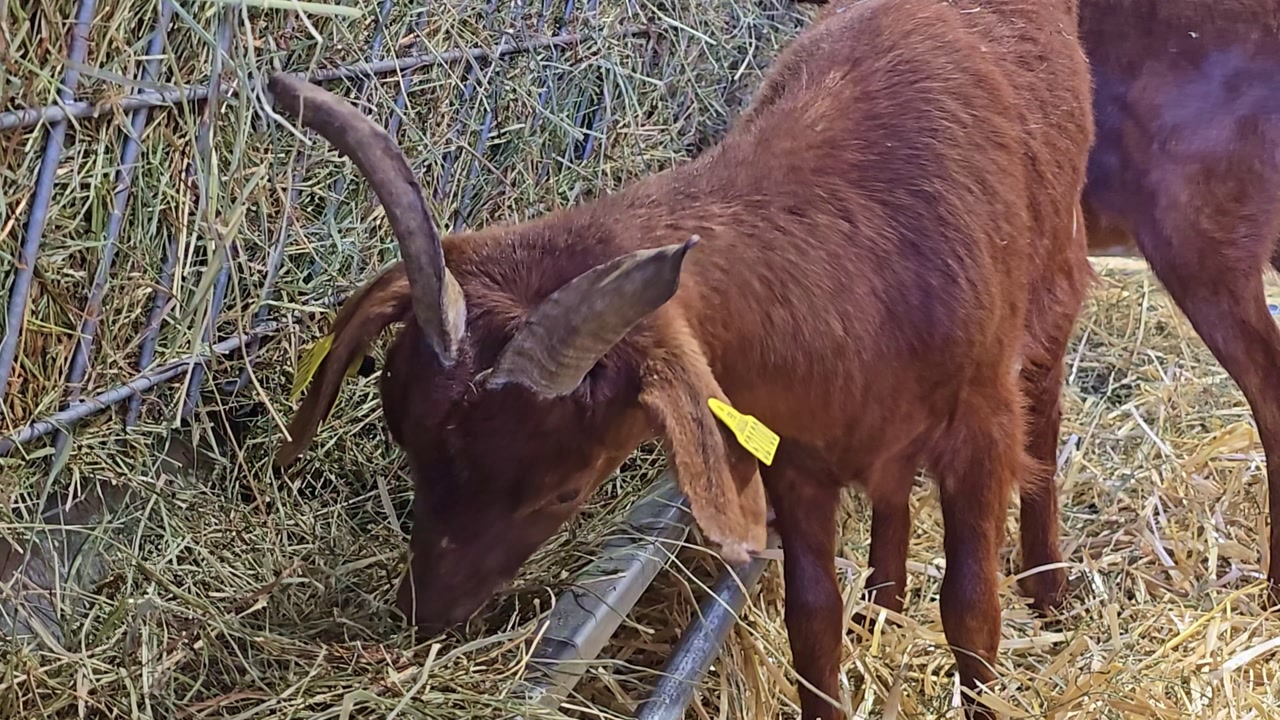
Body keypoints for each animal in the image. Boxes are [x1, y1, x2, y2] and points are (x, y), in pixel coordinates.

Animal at [271, 0, 1095, 716]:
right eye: (405, 443)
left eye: (564, 492)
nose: (426, 615)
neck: (869, 251)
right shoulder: (796, 453)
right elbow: (813, 622)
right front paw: (851, 628)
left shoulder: (980, 430)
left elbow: (971, 612)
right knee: (891, 500)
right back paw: (883, 608)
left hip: (1054, 294)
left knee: (1046, 425)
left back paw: (1048, 587)